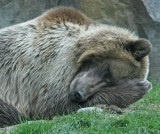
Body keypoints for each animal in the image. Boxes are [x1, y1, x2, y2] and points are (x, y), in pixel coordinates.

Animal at [0, 7, 152, 126]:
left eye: (109, 82)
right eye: (107, 72)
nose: (79, 93)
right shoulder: (46, 65)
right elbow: (53, 104)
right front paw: (138, 87)